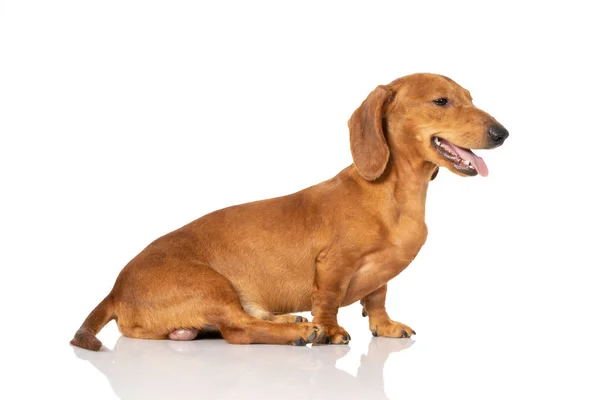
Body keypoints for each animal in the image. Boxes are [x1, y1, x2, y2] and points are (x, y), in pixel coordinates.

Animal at [72, 72, 508, 350]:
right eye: (441, 101)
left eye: (471, 97)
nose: (502, 133)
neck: (397, 197)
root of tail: (114, 290)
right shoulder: (332, 266)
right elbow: (328, 300)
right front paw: (329, 331)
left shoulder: (380, 281)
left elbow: (377, 299)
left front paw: (384, 327)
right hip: (210, 286)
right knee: (239, 330)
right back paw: (299, 331)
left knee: (242, 321)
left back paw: (288, 321)